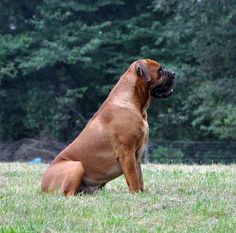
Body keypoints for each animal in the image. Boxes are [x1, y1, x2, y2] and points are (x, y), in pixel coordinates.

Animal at [41, 58, 175, 195]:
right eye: (160, 70)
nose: (174, 74)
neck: (136, 105)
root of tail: (43, 186)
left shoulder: (136, 156)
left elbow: (139, 177)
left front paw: (141, 193)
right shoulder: (126, 152)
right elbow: (133, 177)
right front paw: (136, 193)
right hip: (76, 165)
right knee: (66, 193)